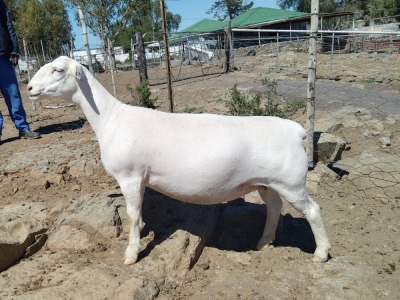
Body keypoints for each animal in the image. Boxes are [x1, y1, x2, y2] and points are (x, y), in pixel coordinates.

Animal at [27, 56, 332, 264]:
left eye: (58, 70)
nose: (29, 87)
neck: (111, 118)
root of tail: (296, 130)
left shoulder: (130, 176)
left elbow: (132, 215)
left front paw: (131, 254)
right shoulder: (140, 179)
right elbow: (138, 216)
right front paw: (140, 235)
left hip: (291, 181)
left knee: (314, 211)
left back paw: (321, 253)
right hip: (267, 182)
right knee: (274, 207)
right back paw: (263, 243)